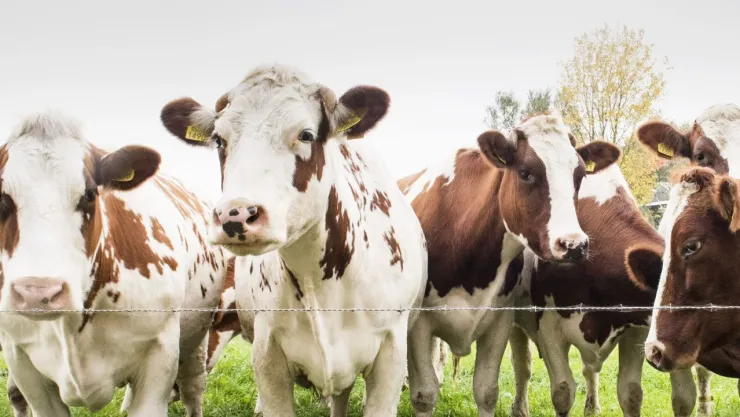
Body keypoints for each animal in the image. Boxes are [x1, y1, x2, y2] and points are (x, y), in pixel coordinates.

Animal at [0, 111, 228, 417]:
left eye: (89, 194)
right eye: (1, 197)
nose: (38, 293)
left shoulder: (160, 352)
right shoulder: (20, 358)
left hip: (196, 341)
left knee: (193, 389)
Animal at [159, 63, 428, 417]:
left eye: (306, 134)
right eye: (219, 140)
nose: (235, 215)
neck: (320, 282)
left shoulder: (391, 353)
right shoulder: (267, 352)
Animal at [397, 112, 620, 417]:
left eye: (580, 176)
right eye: (525, 173)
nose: (574, 245)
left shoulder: (500, 319)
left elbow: (486, 391)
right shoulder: (420, 323)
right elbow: (424, 394)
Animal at [508, 161, 698, 417]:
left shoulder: (636, 330)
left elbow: (631, 393)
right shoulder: (549, 329)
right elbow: (563, 392)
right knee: (522, 364)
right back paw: (519, 408)